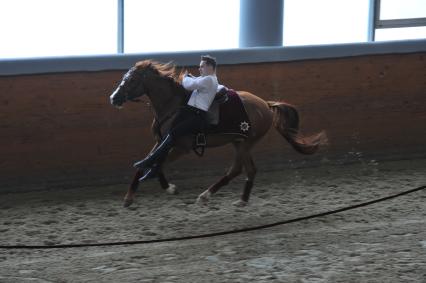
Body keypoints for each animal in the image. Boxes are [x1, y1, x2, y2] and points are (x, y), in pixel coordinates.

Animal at [110, 60, 326, 207]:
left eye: (131, 80)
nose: (114, 98)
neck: (174, 106)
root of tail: (266, 104)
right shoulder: (162, 141)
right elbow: (150, 161)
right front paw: (131, 196)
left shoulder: (180, 147)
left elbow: (158, 162)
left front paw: (164, 185)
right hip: (239, 142)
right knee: (246, 170)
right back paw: (236, 199)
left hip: (246, 143)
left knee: (240, 169)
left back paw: (209, 195)